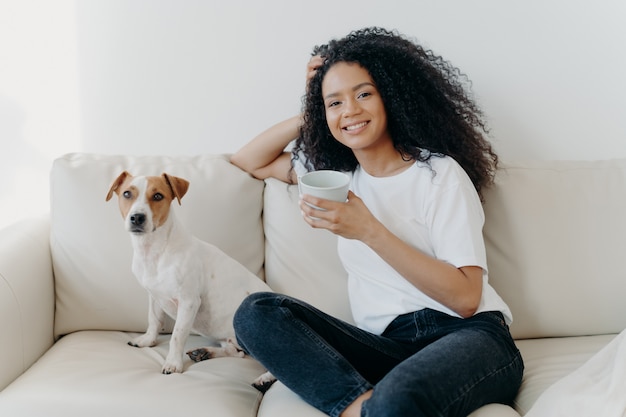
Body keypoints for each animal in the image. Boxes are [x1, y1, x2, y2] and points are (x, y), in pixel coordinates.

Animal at [105, 170, 272, 390]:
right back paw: (205, 352)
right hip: (228, 338)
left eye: (158, 196)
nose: (137, 217)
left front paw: (173, 363)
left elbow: (177, 335)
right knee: (236, 352)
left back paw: (265, 378)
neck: (155, 251)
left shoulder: (189, 302)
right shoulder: (154, 297)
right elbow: (153, 321)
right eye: (127, 194)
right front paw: (147, 340)